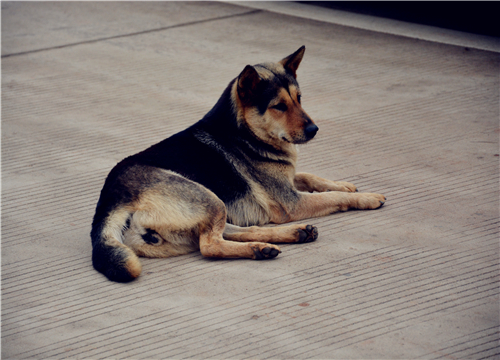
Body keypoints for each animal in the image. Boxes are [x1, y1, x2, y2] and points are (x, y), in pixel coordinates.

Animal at [91, 45, 386, 282]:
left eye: (299, 99)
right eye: (279, 106)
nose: (314, 130)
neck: (243, 132)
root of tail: (111, 200)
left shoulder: (287, 181)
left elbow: (309, 176)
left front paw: (343, 184)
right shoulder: (292, 202)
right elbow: (331, 198)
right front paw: (367, 197)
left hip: (212, 205)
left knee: (236, 231)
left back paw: (284, 238)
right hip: (207, 197)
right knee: (210, 246)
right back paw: (259, 249)